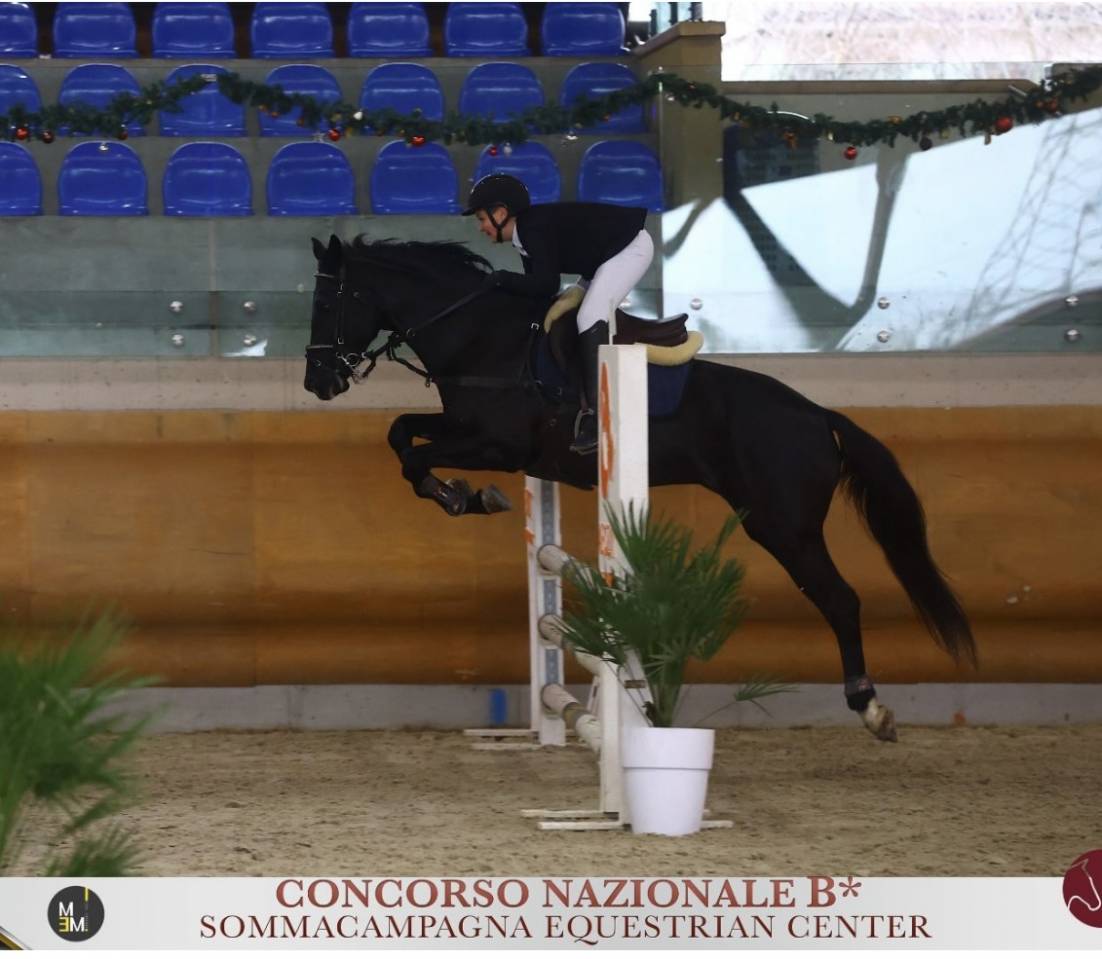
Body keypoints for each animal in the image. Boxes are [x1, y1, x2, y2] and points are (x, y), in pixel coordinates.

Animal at [303, 234, 976, 741]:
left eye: (329, 302)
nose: (318, 383)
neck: (478, 334)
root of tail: (817, 415)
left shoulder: (498, 446)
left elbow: (413, 457)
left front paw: (462, 496)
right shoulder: (465, 427)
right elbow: (400, 433)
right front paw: (463, 496)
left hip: (783, 526)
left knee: (840, 600)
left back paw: (870, 706)